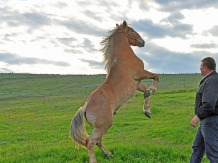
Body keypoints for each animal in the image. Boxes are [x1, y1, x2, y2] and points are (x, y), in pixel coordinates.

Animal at [70, 20, 159, 163]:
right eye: (132, 30)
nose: (143, 41)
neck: (124, 56)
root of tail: (85, 108)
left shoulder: (136, 84)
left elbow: (145, 91)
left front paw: (147, 111)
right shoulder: (140, 74)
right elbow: (156, 77)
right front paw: (151, 91)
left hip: (100, 127)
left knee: (97, 141)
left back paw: (110, 155)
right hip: (104, 125)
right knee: (90, 141)